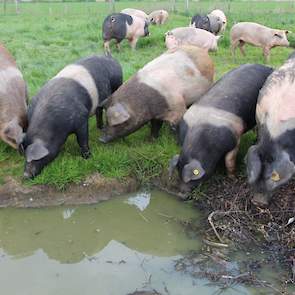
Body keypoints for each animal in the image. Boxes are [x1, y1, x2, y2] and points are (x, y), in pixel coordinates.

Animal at [170, 64, 274, 193]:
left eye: (191, 179)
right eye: (178, 172)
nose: (180, 192)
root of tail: (268, 67)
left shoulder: (234, 138)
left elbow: (230, 160)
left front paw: (232, 177)